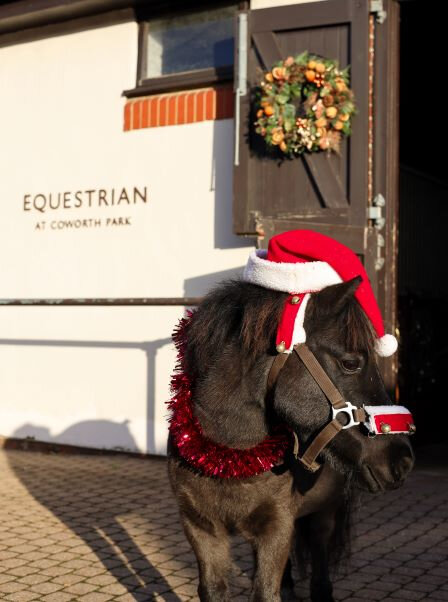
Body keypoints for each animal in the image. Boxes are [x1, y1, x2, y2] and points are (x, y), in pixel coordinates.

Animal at [168, 276, 412, 600]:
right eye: (351, 363)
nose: (403, 460)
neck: (225, 457)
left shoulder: (277, 527)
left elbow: (265, 592)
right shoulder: (201, 527)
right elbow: (215, 589)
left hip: (324, 513)